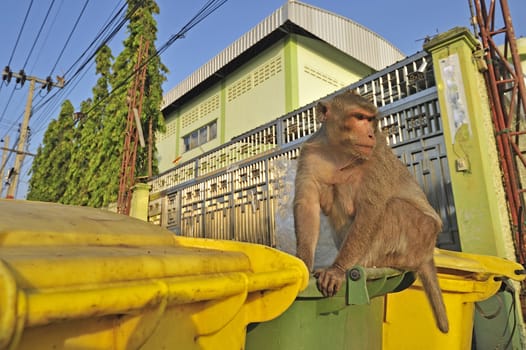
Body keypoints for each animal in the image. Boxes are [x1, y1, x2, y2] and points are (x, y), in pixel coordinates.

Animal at [292, 90, 450, 334]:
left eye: (370, 120)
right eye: (359, 117)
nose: (370, 135)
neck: (339, 151)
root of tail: (427, 253)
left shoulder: (376, 157)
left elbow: (371, 209)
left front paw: (338, 269)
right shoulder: (309, 154)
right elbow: (307, 204)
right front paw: (303, 262)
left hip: (421, 236)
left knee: (393, 206)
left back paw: (368, 263)